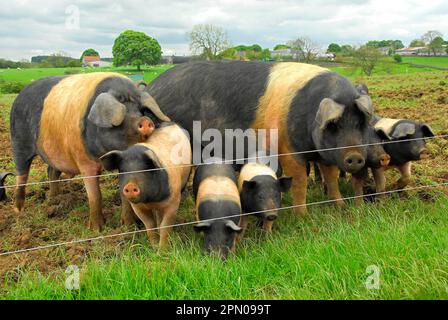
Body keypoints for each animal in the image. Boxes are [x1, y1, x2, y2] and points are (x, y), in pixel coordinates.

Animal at [10, 72, 172, 230]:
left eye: (140, 110)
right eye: (123, 111)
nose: (145, 121)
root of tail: (20, 94)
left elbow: (124, 194)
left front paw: (128, 227)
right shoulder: (83, 160)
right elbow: (95, 195)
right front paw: (96, 229)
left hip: (54, 153)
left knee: (52, 171)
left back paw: (54, 200)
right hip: (18, 141)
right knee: (21, 175)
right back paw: (18, 210)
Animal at [145, 60, 372, 215]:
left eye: (360, 123)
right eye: (334, 124)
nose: (354, 156)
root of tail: (153, 86)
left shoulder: (326, 154)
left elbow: (331, 177)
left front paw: (341, 206)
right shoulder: (288, 149)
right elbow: (299, 181)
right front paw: (303, 215)